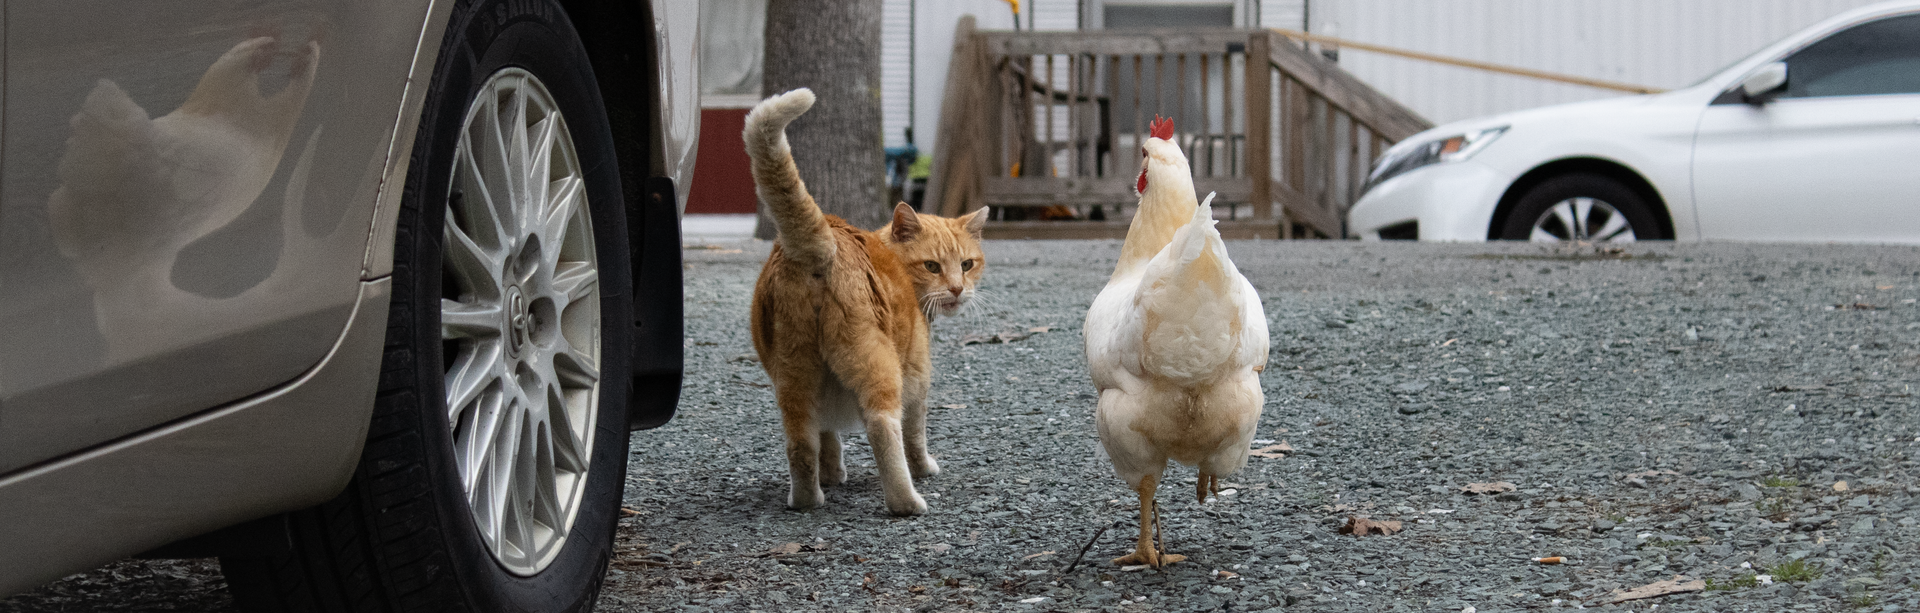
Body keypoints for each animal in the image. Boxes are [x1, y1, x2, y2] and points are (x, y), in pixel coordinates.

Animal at [744, 87, 990, 518]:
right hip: (876, 365)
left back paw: (807, 499)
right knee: (882, 427)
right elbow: (914, 433)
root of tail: (822, 245)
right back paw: (907, 502)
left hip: (793, 374)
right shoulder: (917, 376)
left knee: (800, 442)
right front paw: (924, 467)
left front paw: (832, 473)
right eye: (932, 266)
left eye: (966, 264)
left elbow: (826, 436)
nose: (958, 289)